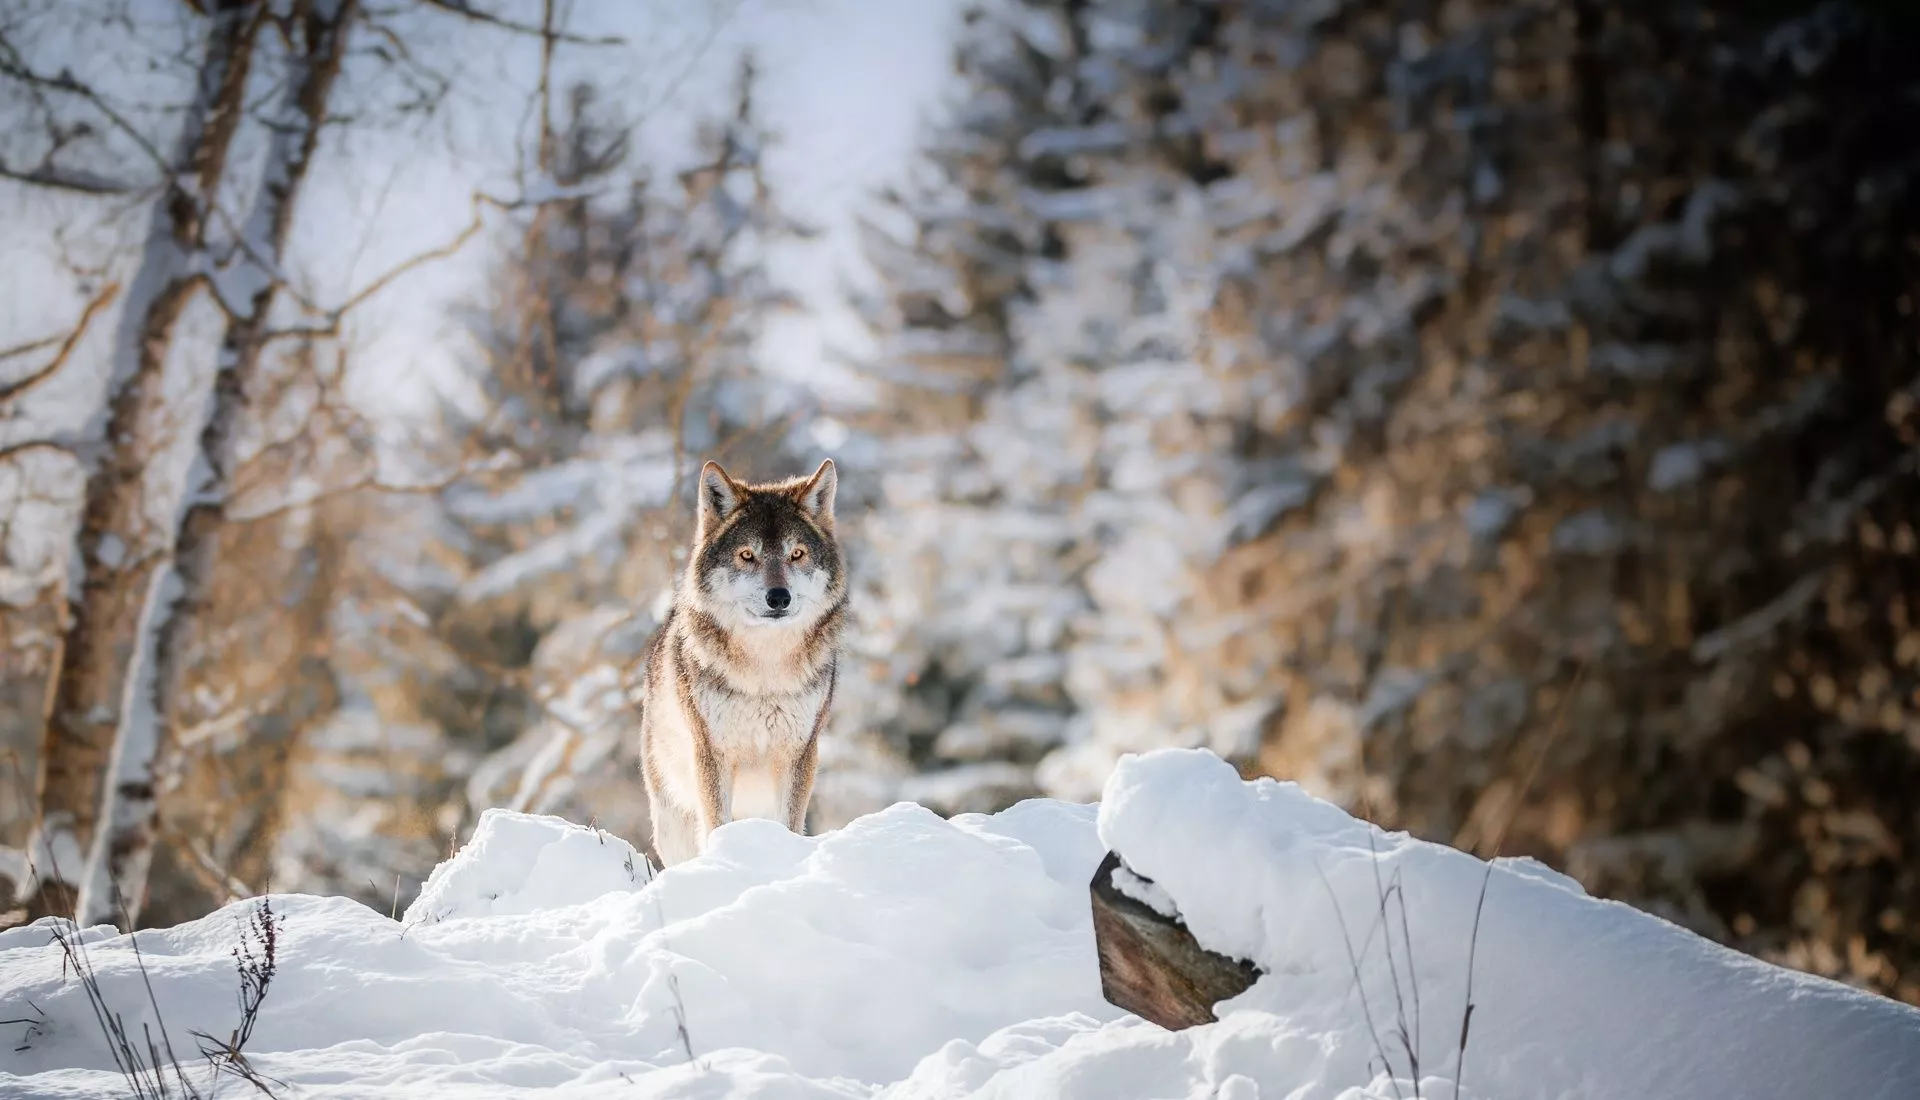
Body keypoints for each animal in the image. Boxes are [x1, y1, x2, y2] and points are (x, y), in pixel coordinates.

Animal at [638, 458, 846, 867]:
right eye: (747, 555)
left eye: (796, 554)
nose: (778, 597)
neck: (764, 672)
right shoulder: (711, 754)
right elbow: (716, 824)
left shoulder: (799, 754)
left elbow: (789, 824)